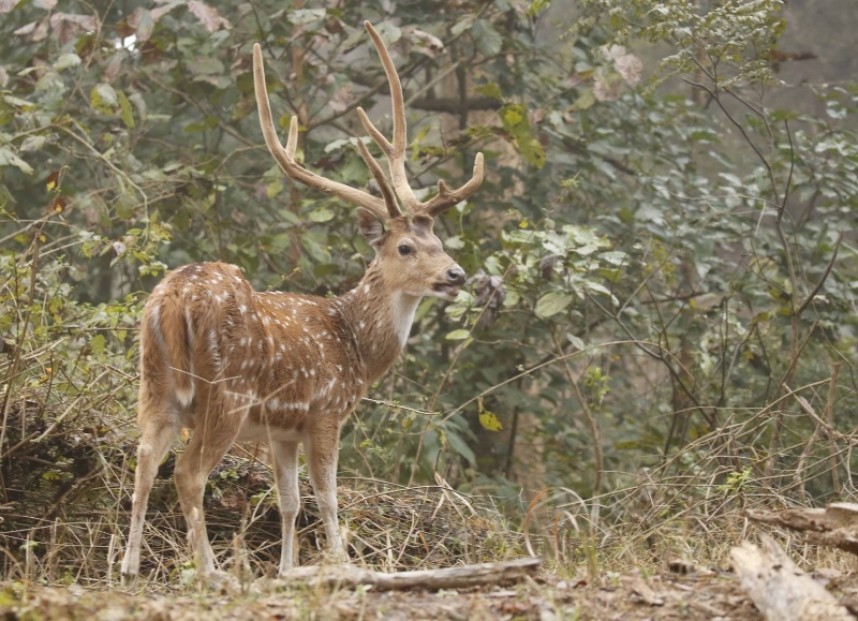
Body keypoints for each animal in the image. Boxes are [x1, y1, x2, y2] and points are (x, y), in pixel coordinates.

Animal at [120, 21, 484, 582]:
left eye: (440, 241)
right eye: (405, 246)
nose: (455, 274)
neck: (356, 346)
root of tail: (175, 297)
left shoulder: (281, 429)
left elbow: (289, 501)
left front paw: (289, 569)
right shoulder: (325, 409)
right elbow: (328, 497)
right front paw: (341, 564)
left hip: (155, 382)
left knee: (143, 459)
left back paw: (128, 567)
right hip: (225, 392)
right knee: (187, 472)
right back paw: (211, 570)